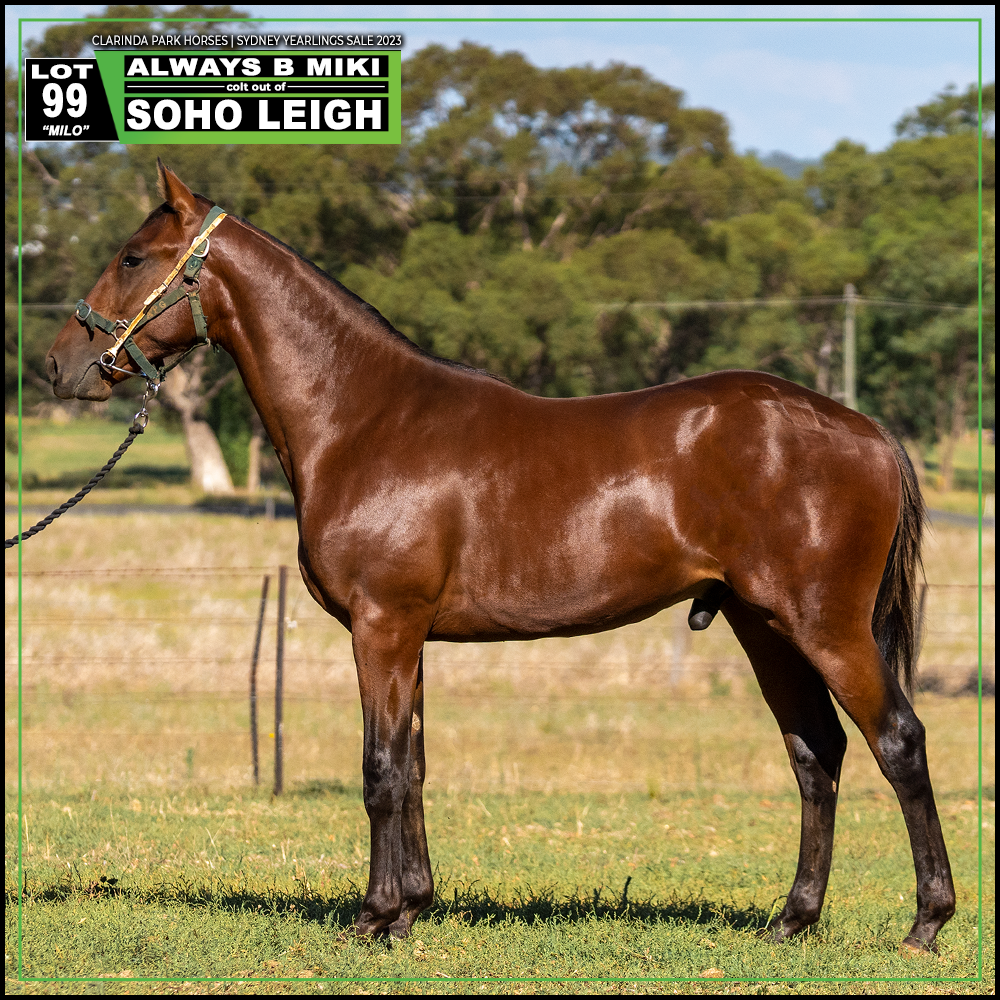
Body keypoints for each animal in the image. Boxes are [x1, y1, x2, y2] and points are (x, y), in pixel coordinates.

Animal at [44, 162, 955, 951]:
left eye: (132, 256)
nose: (59, 365)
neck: (365, 417)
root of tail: (866, 431)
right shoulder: (408, 636)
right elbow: (413, 765)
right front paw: (411, 909)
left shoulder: (382, 626)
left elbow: (380, 767)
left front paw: (372, 918)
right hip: (762, 625)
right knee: (817, 753)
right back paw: (793, 920)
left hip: (825, 626)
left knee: (898, 741)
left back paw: (926, 922)